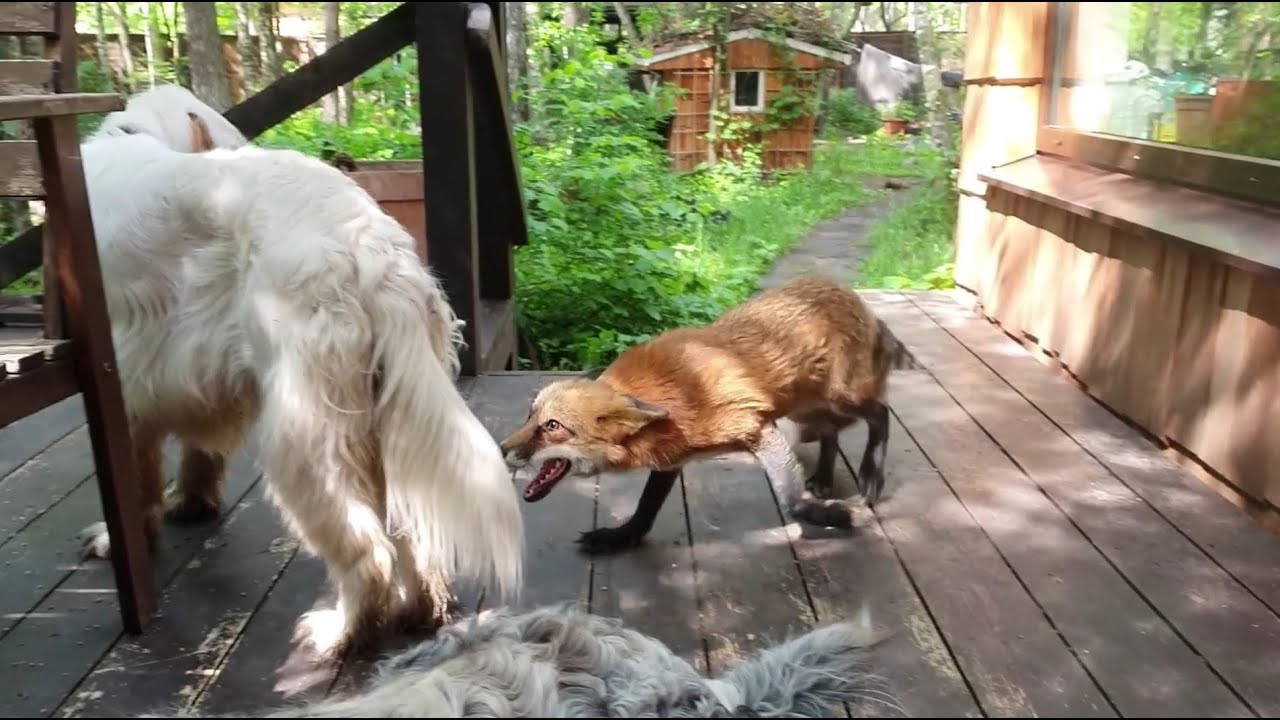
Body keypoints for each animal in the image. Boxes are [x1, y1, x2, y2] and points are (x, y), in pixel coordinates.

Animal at [499, 275, 922, 555]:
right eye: (530, 415)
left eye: (553, 427)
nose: (502, 449)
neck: (680, 391)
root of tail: (851, 294)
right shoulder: (673, 458)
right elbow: (646, 507)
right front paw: (623, 537)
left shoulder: (759, 429)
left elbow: (792, 502)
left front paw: (838, 517)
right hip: (808, 413)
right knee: (832, 433)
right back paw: (823, 477)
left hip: (840, 399)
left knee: (881, 413)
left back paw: (871, 477)